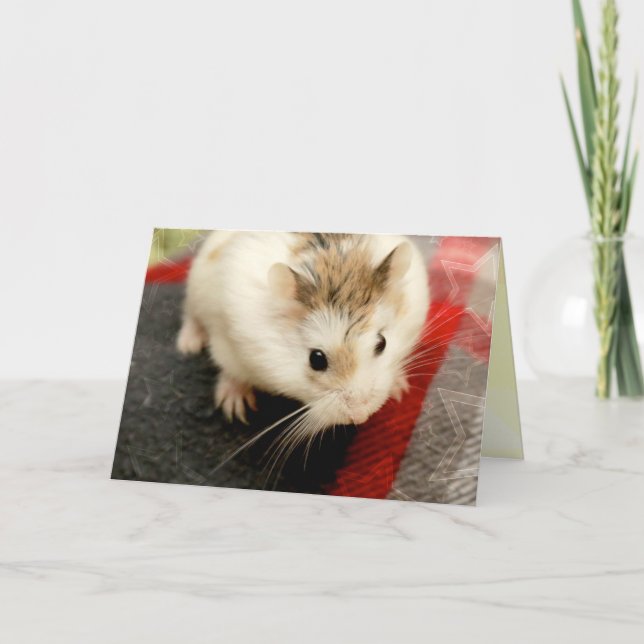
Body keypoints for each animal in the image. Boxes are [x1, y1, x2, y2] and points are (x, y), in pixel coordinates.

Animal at [177, 231, 430, 430]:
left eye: (381, 343)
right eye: (316, 359)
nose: (360, 417)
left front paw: (400, 389)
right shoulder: (227, 343)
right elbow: (231, 371)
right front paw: (235, 409)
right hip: (195, 287)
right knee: (190, 316)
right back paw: (188, 346)